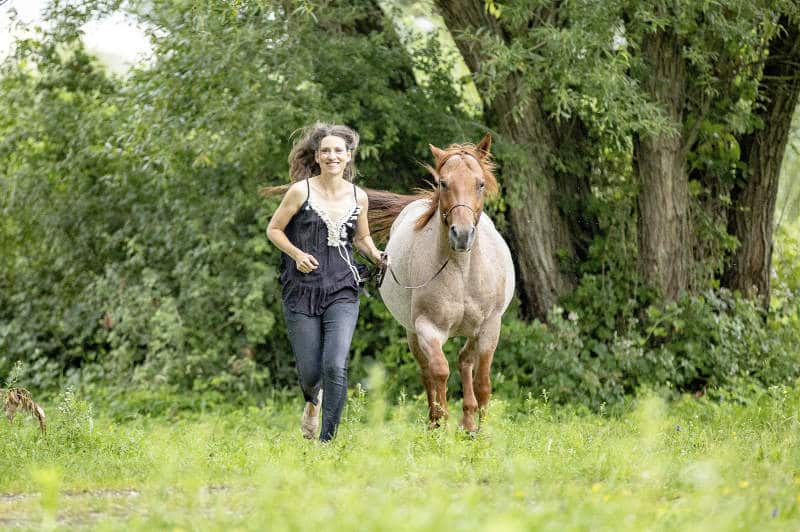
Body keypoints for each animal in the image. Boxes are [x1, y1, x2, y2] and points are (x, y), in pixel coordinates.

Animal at [368, 133, 516, 432]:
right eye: (443, 183)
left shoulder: (490, 328)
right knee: (428, 371)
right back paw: (436, 422)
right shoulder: (428, 329)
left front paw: (482, 434)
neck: (462, 272)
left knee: (465, 360)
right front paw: (441, 425)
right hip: (412, 333)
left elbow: (483, 383)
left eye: (480, 183)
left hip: (472, 331)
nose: (462, 235)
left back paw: (468, 423)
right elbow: (439, 372)